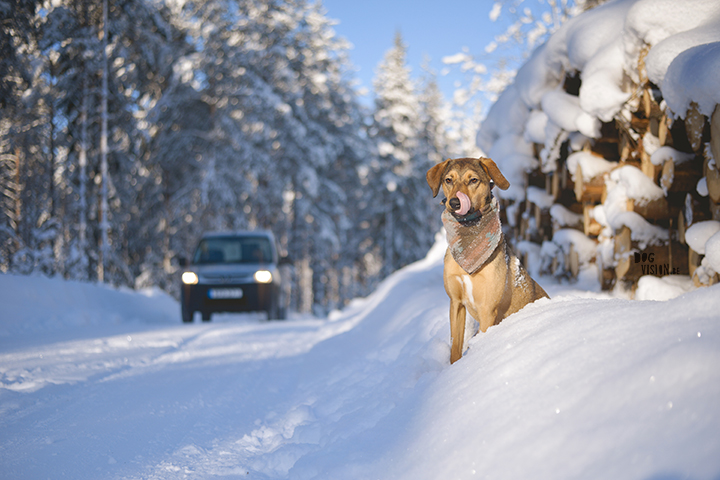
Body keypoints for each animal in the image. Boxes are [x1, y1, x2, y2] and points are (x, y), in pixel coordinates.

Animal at [424, 158, 548, 364]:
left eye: (473, 180)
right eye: (448, 180)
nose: (455, 202)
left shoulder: (487, 309)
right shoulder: (456, 302)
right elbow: (455, 348)